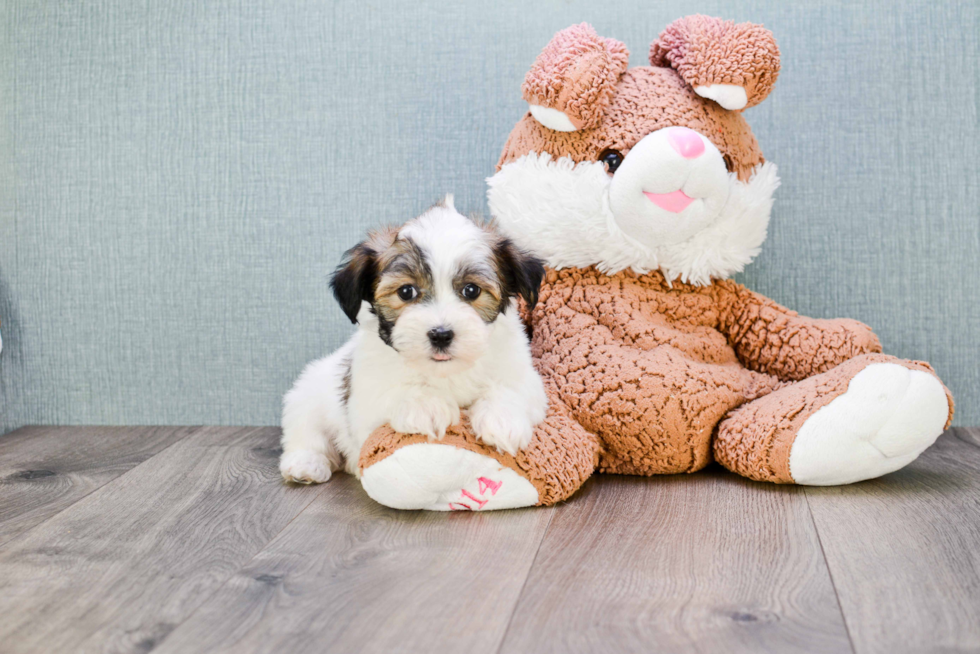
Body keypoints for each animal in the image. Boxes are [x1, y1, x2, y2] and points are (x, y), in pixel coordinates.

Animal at [280, 197, 548, 484]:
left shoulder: (525, 377)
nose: (441, 334)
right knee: (306, 433)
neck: (445, 371)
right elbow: (395, 391)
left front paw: (502, 421)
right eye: (406, 292)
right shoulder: (366, 399)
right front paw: (426, 406)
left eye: (471, 290)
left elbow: (510, 388)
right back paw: (306, 464)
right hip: (308, 395)